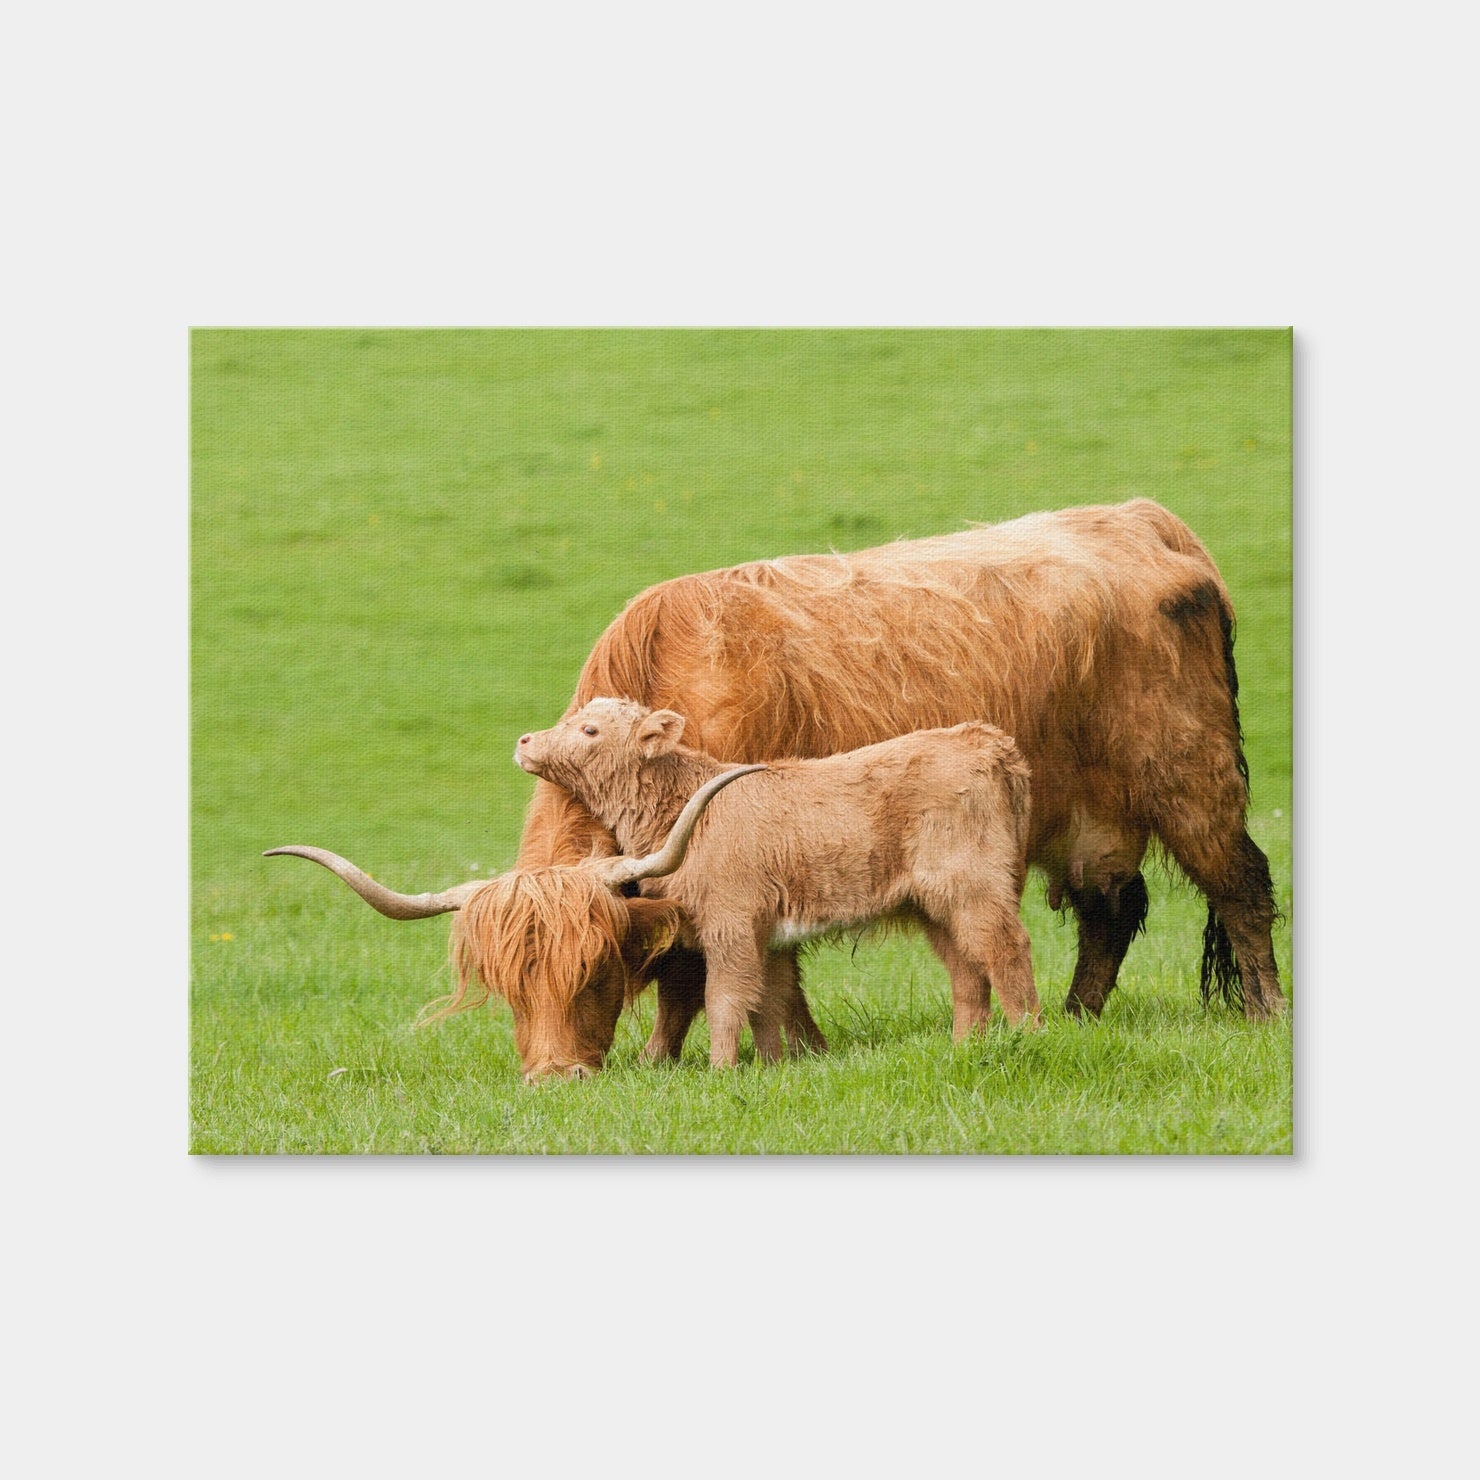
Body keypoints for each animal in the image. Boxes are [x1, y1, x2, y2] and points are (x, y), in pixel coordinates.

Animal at [511, 700, 1039, 1067]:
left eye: (590, 729)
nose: (524, 741)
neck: (684, 808)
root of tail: (987, 740)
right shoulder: (769, 937)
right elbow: (769, 1002)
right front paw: (772, 1066)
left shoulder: (731, 925)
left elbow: (725, 1000)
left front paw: (721, 1071)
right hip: (936, 906)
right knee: (967, 970)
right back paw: (964, 1048)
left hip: (974, 887)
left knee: (1005, 950)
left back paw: (1028, 1036)